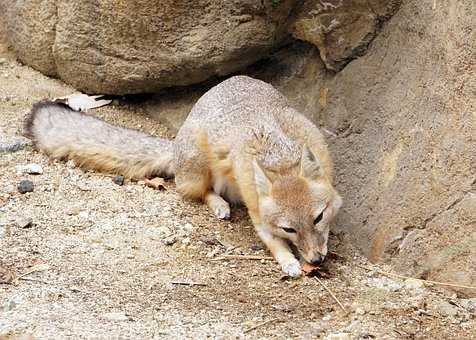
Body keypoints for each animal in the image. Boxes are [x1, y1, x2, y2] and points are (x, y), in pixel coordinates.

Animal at [24, 75, 342, 278]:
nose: (316, 259)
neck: (278, 153)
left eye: (317, 218)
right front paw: (289, 262)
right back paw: (219, 205)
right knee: (196, 192)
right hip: (198, 168)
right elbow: (274, 244)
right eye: (289, 229)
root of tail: (175, 143)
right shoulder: (259, 216)